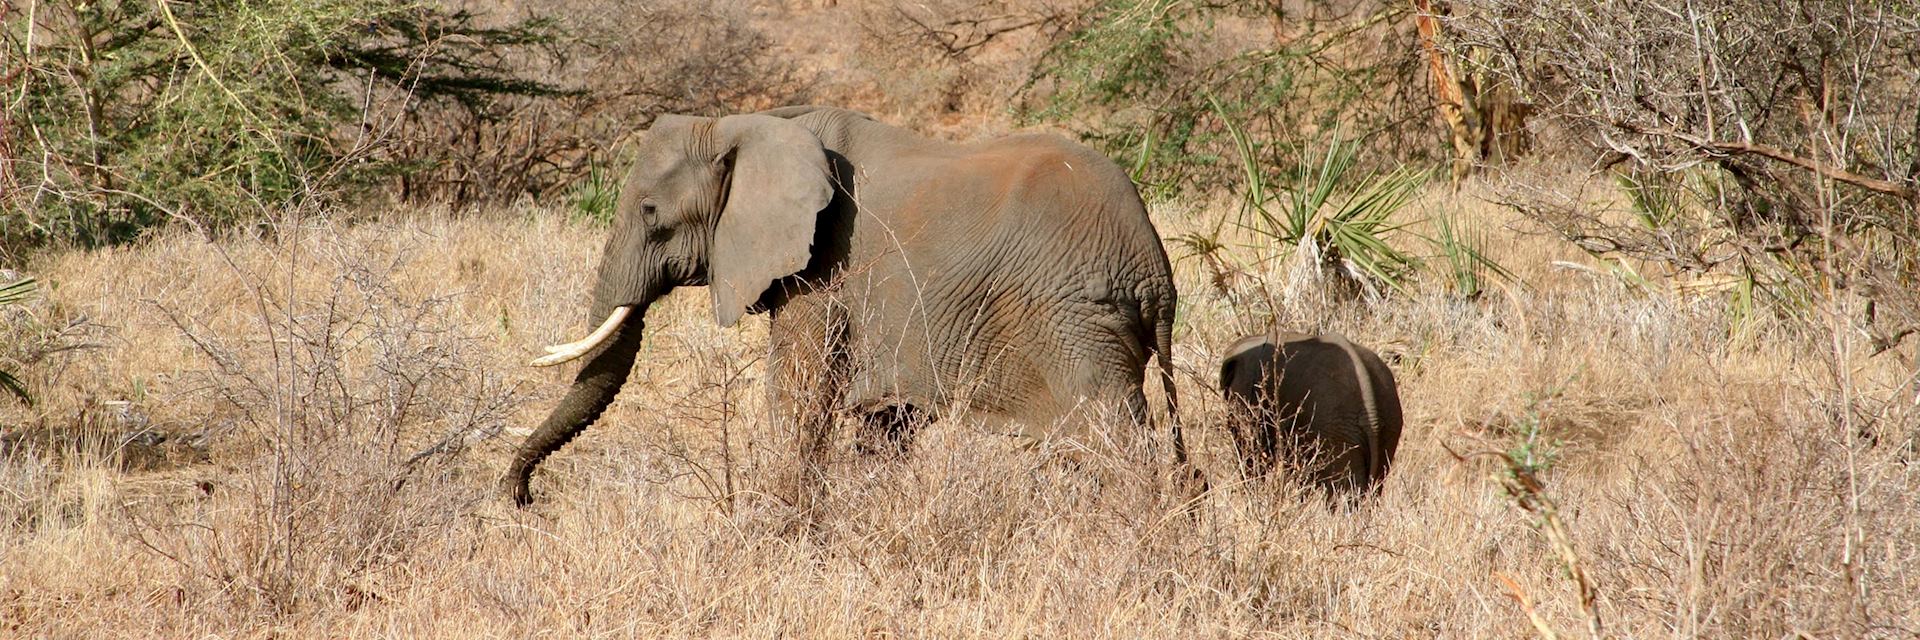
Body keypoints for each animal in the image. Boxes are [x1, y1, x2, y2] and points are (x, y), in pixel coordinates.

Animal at [503, 104, 1175, 503]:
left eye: (649, 212)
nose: (525, 497)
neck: (745, 124)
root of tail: (1155, 273)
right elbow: (885, 423)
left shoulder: (825, 265)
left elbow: (798, 393)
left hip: (1078, 320)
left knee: (1118, 440)